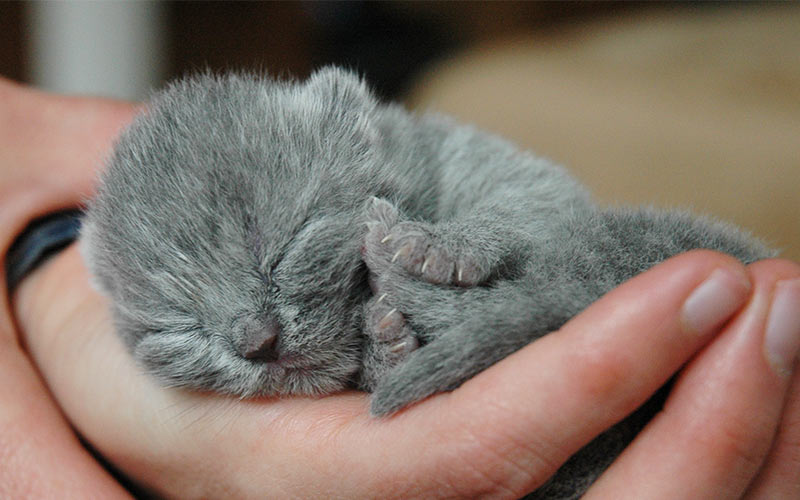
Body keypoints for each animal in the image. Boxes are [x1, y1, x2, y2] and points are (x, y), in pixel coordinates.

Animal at [79, 67, 768, 500]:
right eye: (178, 327)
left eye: (282, 247)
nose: (255, 340)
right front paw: (385, 343)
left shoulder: (513, 174)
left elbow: (524, 201)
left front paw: (440, 247)